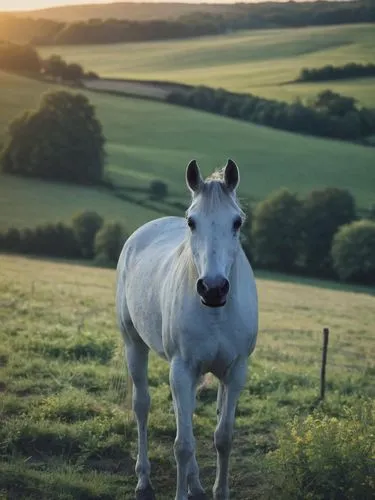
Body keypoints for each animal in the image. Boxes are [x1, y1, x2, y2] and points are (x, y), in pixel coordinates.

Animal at [117, 160, 258, 500]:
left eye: (237, 222)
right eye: (192, 222)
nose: (213, 288)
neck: (216, 313)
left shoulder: (235, 372)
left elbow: (223, 438)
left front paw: (220, 491)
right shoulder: (181, 369)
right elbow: (182, 445)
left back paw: (195, 484)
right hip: (134, 345)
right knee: (142, 406)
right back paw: (144, 480)